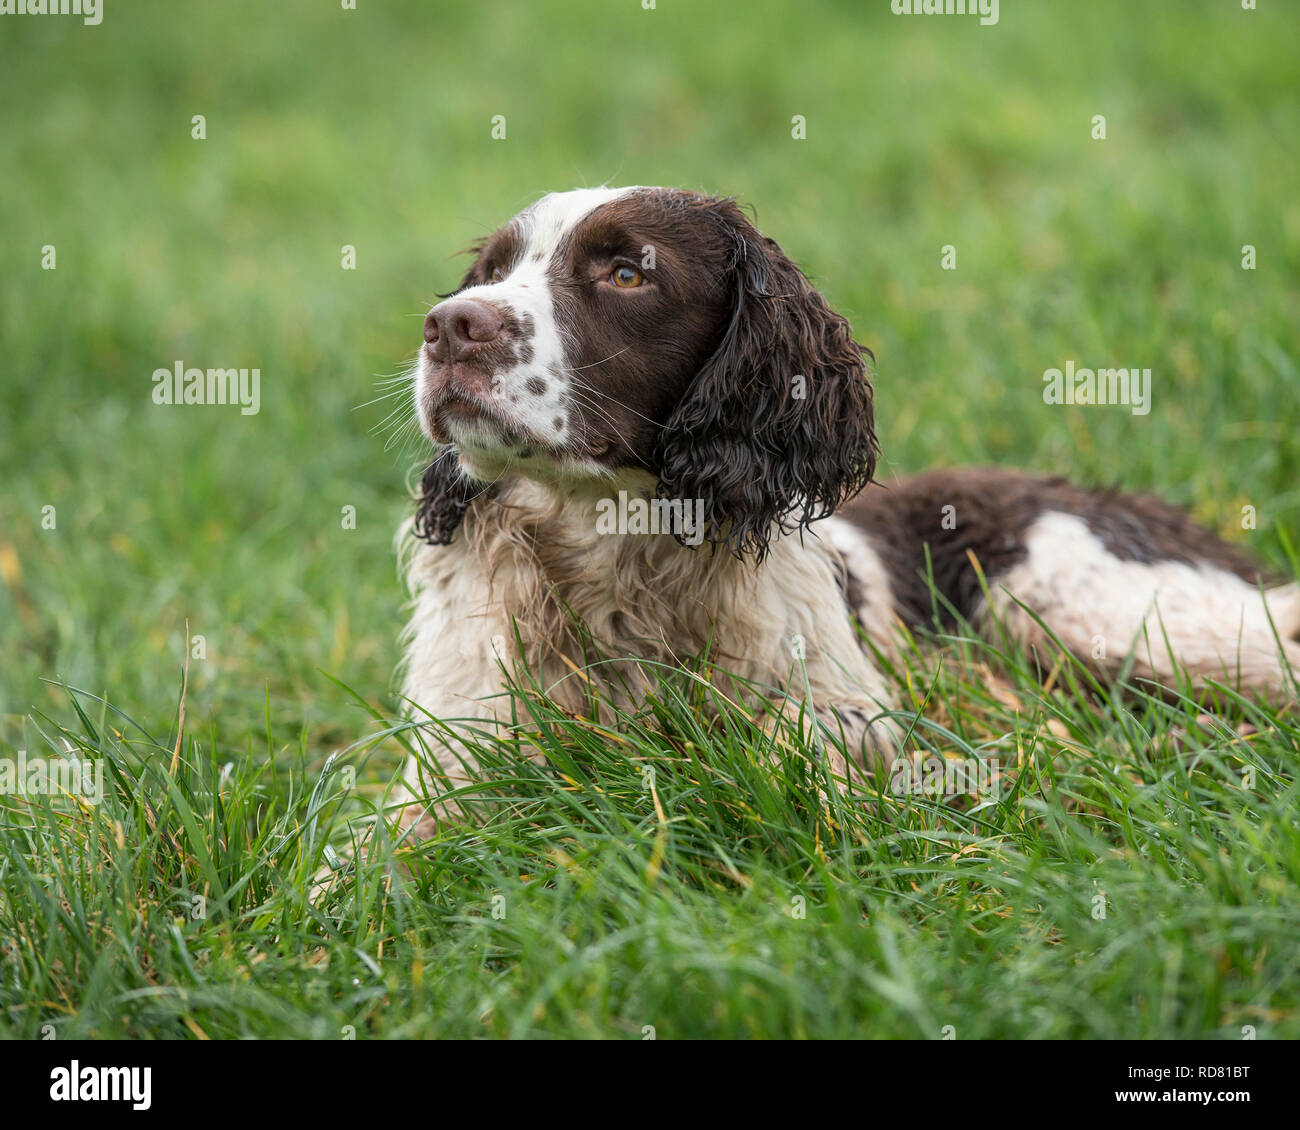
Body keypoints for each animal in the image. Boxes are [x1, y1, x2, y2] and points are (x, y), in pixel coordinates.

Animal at [387, 184, 1300, 837]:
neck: (613, 554)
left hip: (1078, 606)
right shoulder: (457, 744)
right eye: (492, 272)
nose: (449, 326)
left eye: (626, 273)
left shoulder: (844, 708)